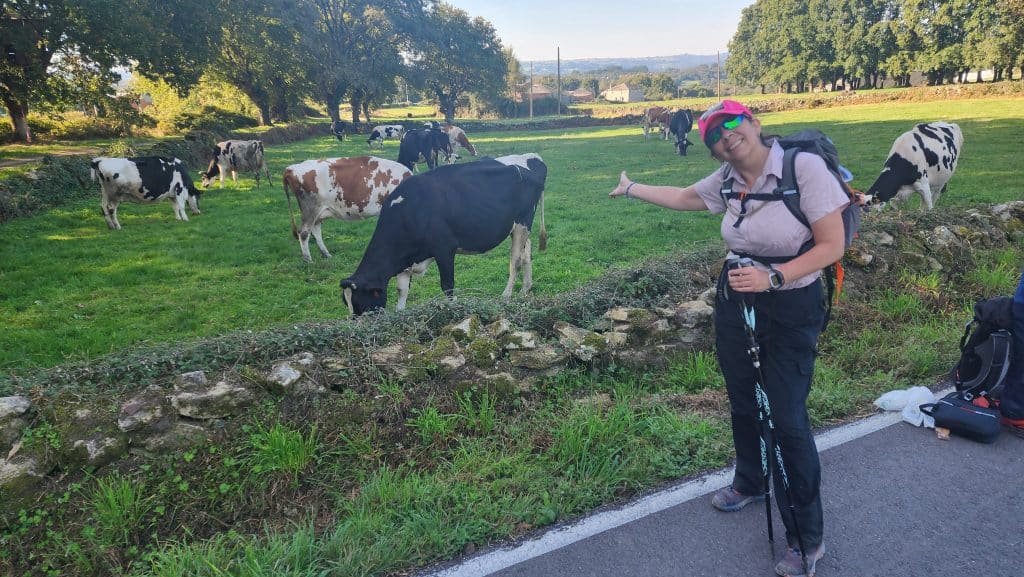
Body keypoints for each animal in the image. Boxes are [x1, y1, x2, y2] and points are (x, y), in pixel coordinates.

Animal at [282, 156, 412, 263]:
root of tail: (291, 168)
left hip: (318, 212)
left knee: (316, 231)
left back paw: (326, 254)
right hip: (310, 209)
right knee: (304, 233)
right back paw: (308, 260)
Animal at [340, 153, 548, 315]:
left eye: (360, 304)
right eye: (346, 303)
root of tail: (532, 158)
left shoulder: (444, 249)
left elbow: (448, 285)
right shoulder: (405, 260)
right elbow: (402, 290)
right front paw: (400, 314)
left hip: (522, 222)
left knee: (515, 260)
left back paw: (506, 295)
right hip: (519, 227)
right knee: (526, 253)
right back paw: (525, 289)